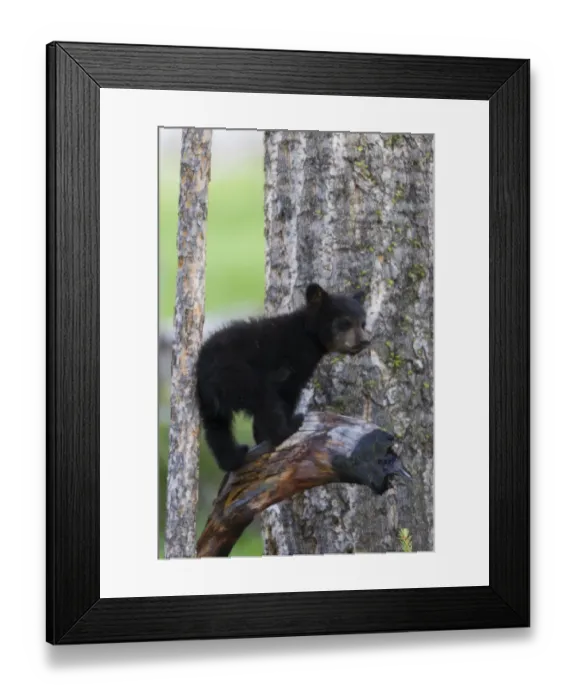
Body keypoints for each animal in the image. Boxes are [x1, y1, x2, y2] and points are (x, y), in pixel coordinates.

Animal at [194, 282, 371, 473]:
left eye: (363, 323)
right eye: (345, 323)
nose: (365, 341)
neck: (309, 335)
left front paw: (259, 437)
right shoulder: (293, 361)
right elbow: (287, 392)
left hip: (207, 398)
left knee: (216, 427)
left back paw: (233, 458)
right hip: (239, 376)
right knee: (264, 400)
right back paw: (289, 427)